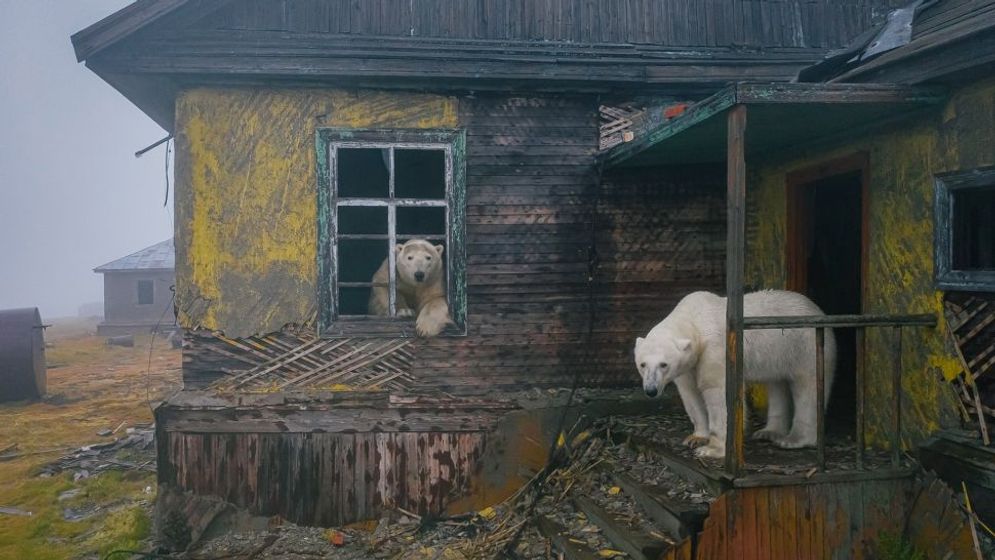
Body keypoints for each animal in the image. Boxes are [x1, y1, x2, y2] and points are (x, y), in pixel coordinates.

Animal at [636, 288, 836, 460]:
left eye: (664, 364)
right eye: (642, 364)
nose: (651, 390)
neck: (694, 319)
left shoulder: (715, 349)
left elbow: (717, 392)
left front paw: (711, 449)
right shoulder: (689, 364)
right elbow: (691, 393)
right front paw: (696, 438)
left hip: (805, 345)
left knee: (808, 387)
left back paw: (793, 439)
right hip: (778, 355)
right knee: (777, 384)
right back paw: (769, 432)